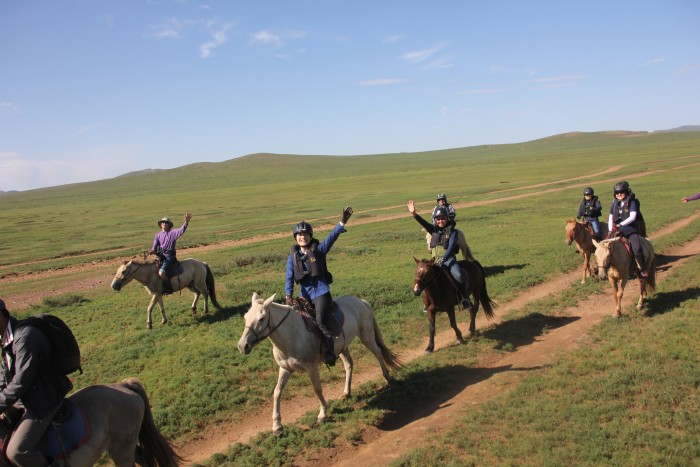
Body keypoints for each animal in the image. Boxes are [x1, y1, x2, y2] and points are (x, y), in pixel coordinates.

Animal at [238, 294, 402, 436]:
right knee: (349, 365)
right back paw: (346, 392)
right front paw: (277, 426)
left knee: (378, 354)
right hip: (342, 348)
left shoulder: (311, 367)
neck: (292, 334)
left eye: (261, 319)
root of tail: (360, 301)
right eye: (245, 317)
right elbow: (277, 392)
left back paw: (388, 378)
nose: (242, 346)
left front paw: (323, 413)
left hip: (366, 337)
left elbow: (317, 389)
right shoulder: (285, 369)